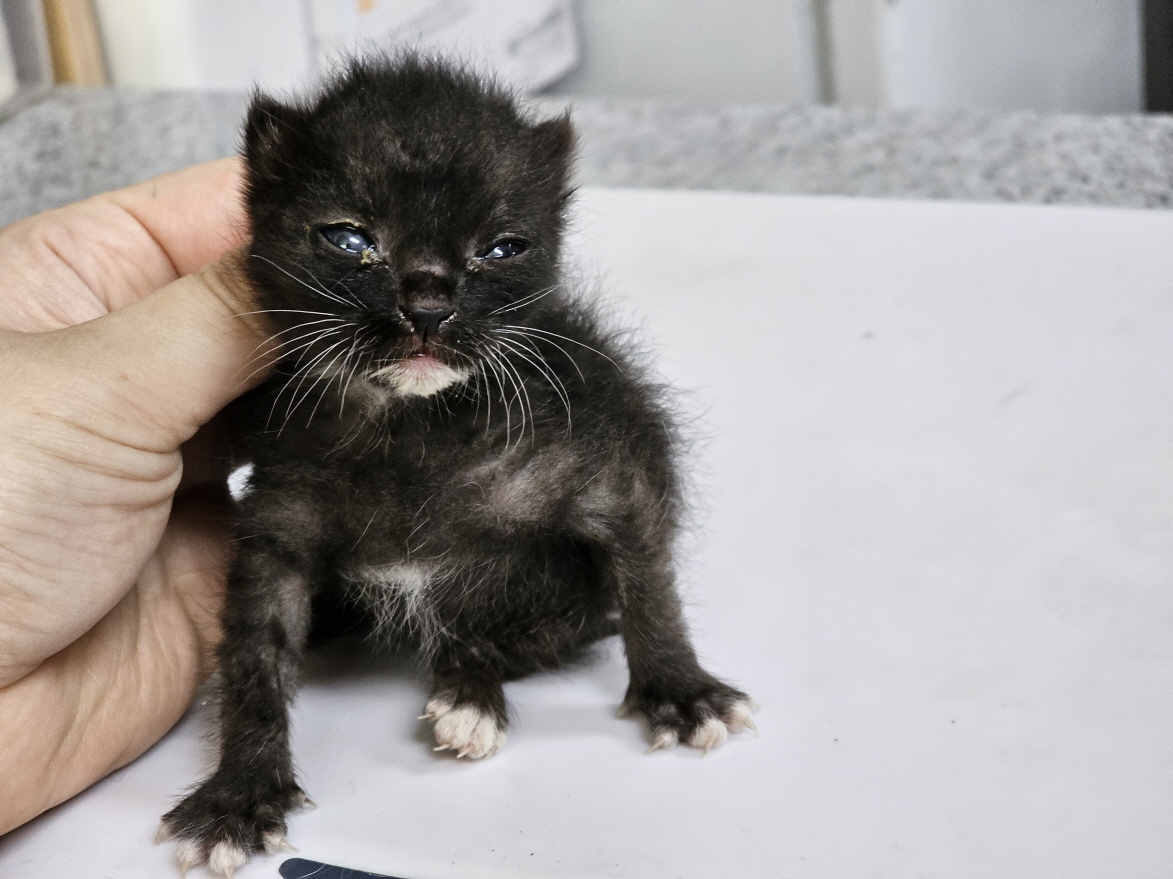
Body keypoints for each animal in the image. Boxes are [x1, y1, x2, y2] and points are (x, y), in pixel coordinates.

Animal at [160, 56, 755, 877]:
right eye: (350, 238)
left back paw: (470, 693)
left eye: (501, 248)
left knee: (491, 636)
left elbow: (648, 585)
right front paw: (239, 794)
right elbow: (255, 655)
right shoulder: (279, 522)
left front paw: (681, 688)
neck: (416, 430)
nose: (429, 305)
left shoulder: (610, 474)